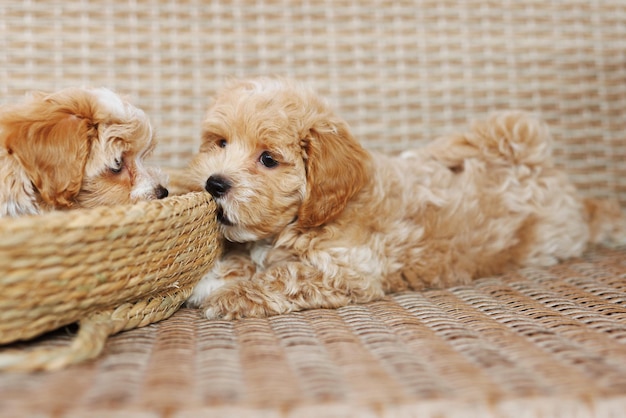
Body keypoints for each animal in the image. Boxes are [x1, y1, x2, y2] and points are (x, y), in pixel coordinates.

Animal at [184, 77, 620, 320]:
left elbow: (283, 276)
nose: (214, 184)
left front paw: (230, 295)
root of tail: (540, 168)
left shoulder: (347, 271)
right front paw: (212, 276)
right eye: (220, 143)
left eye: (268, 159)